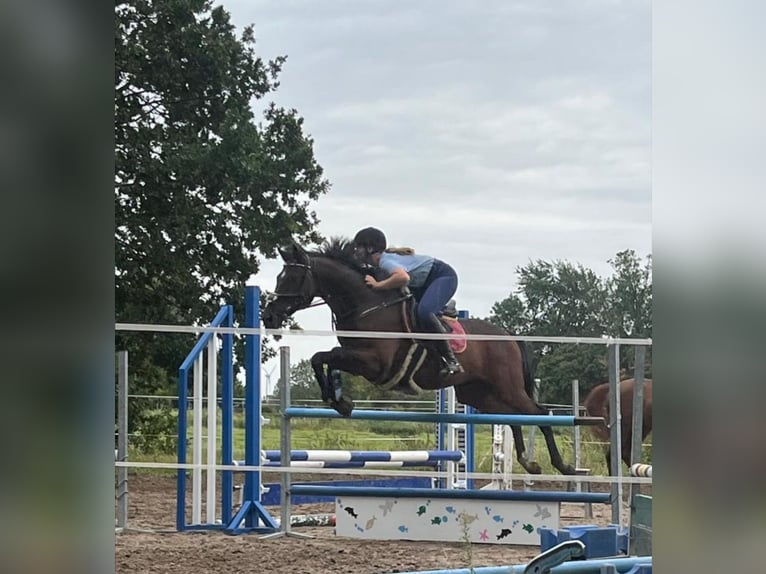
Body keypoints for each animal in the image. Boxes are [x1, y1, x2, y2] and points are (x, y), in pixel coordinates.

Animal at [260, 240, 580, 476]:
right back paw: (529, 462)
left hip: (506, 386)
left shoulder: (373, 363)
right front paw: (338, 399)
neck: (366, 304)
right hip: (481, 393)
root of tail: (508, 336)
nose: (269, 316)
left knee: (539, 413)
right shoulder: (359, 360)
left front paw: (339, 400)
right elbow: (322, 359)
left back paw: (563, 466)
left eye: (292, 277)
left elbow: (325, 356)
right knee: (513, 416)